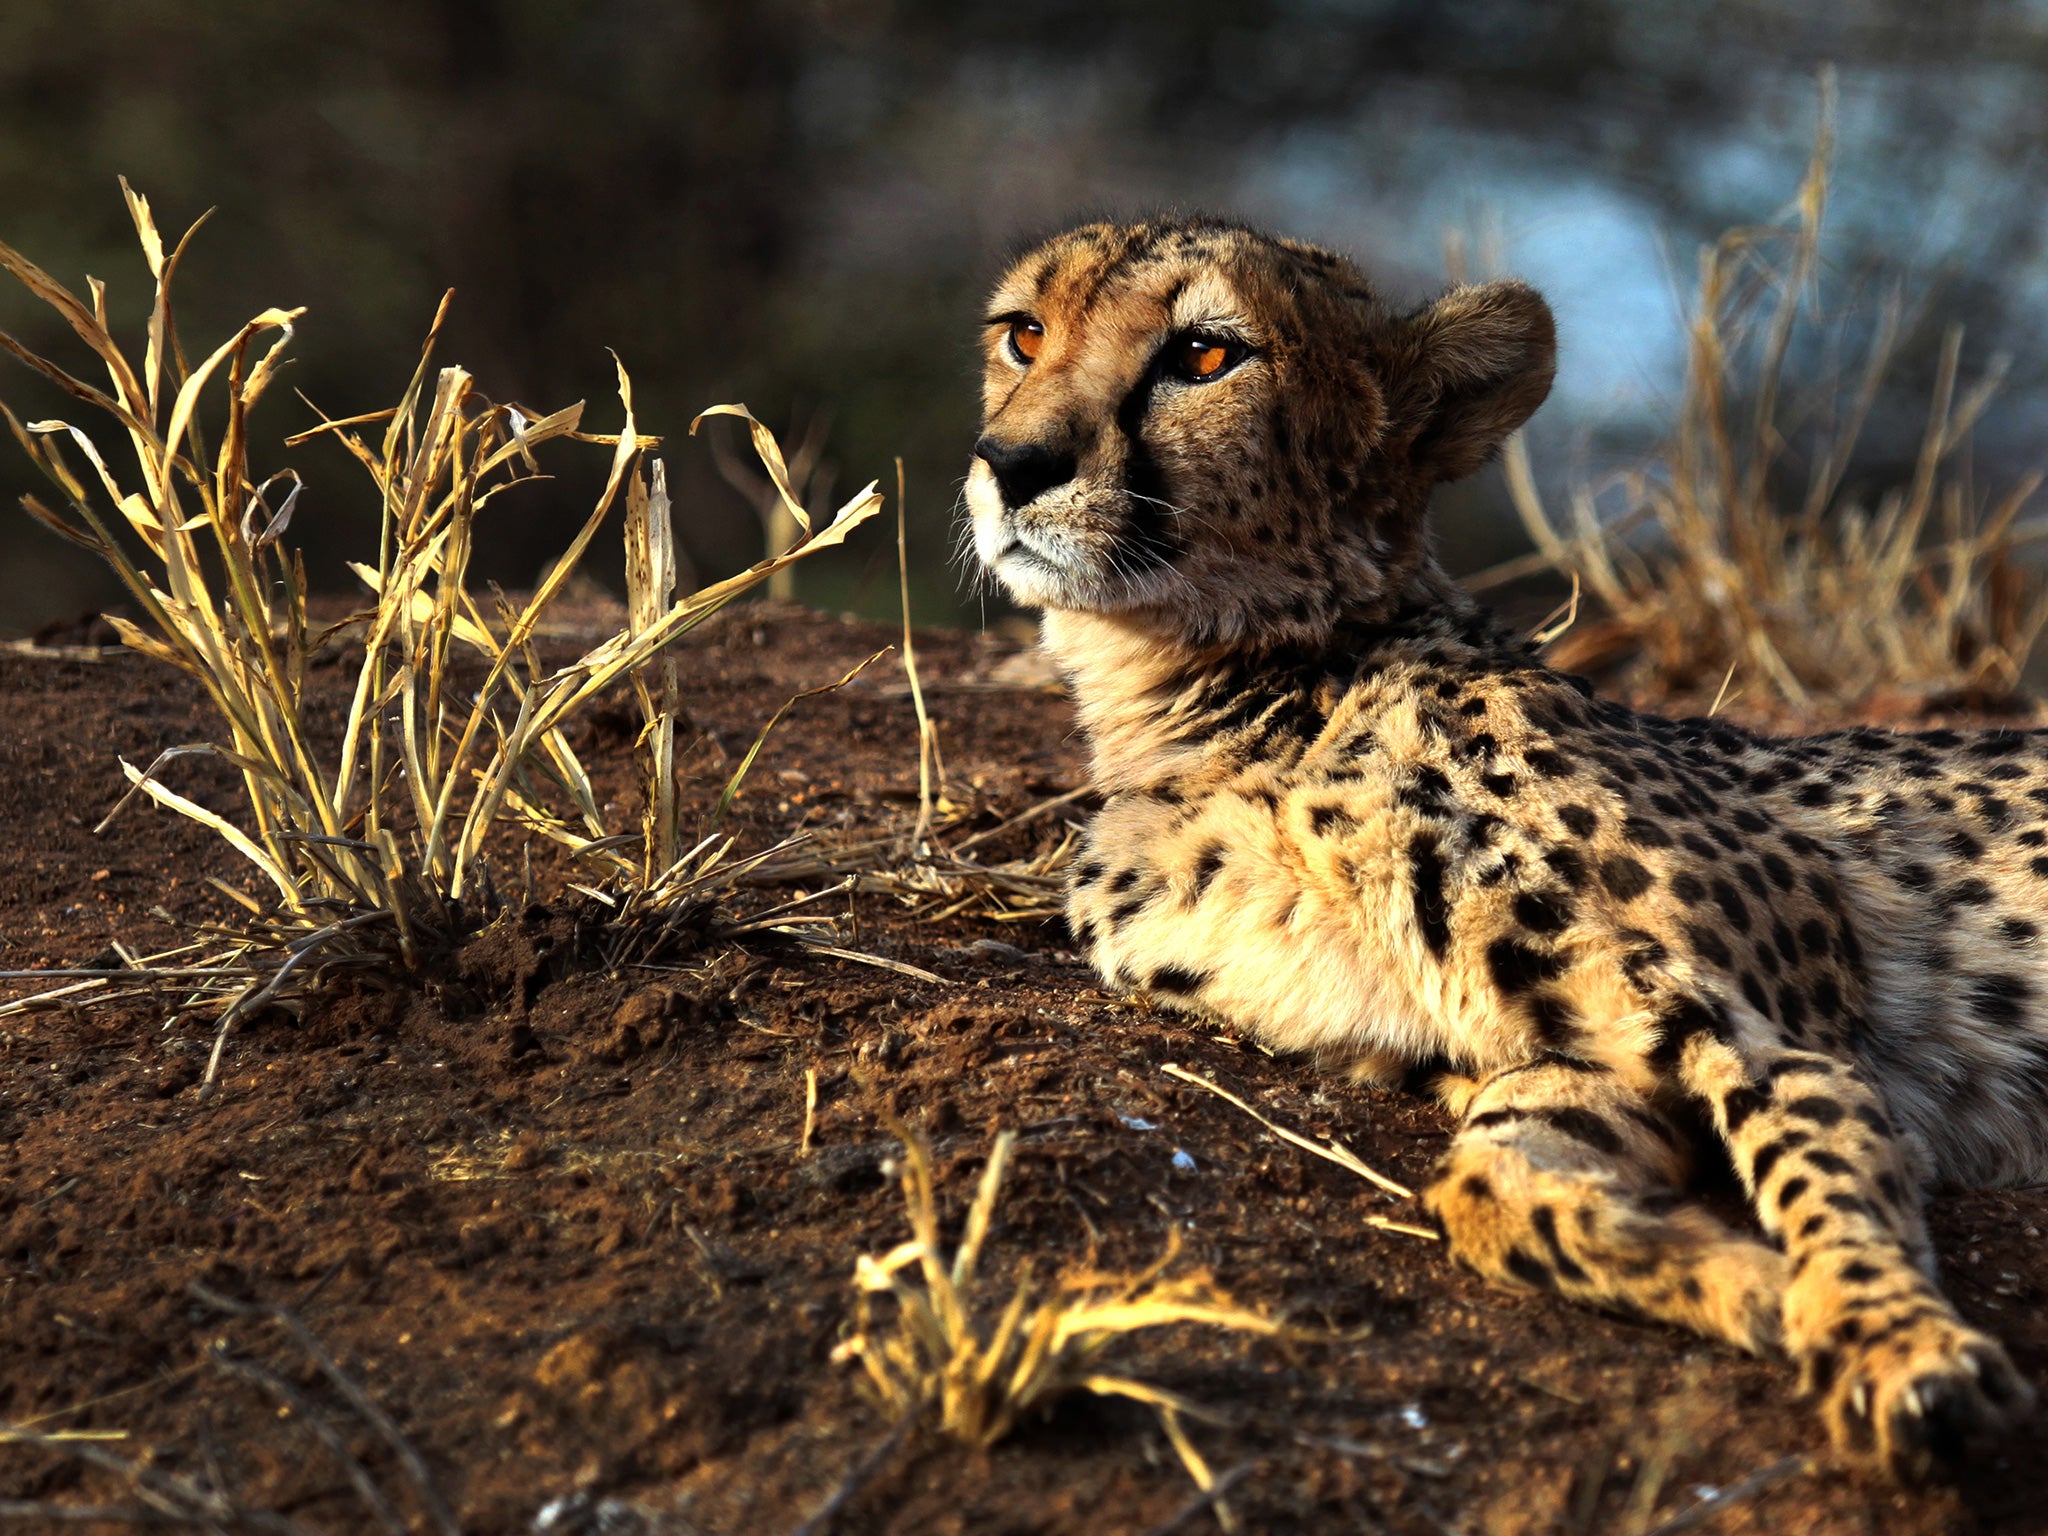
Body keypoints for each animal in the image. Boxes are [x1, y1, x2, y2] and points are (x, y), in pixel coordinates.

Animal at [966, 217, 2039, 1482]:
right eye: (1022, 333)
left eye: (1201, 355)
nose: (1008, 463)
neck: (1236, 696)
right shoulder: (1556, 1053)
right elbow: (1488, 1183)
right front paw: (1760, 1294)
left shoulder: (1765, 1025)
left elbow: (1813, 1157)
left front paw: (1893, 1345)